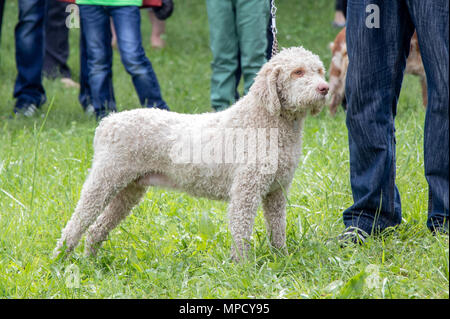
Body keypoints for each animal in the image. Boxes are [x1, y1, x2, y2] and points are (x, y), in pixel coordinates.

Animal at [53, 47, 326, 262]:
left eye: (320, 70)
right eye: (298, 72)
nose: (325, 88)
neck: (265, 122)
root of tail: (107, 122)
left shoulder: (276, 191)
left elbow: (277, 228)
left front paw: (282, 259)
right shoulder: (246, 191)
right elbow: (241, 231)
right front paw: (243, 267)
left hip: (129, 191)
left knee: (96, 229)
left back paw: (90, 260)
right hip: (104, 181)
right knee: (75, 224)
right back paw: (59, 260)